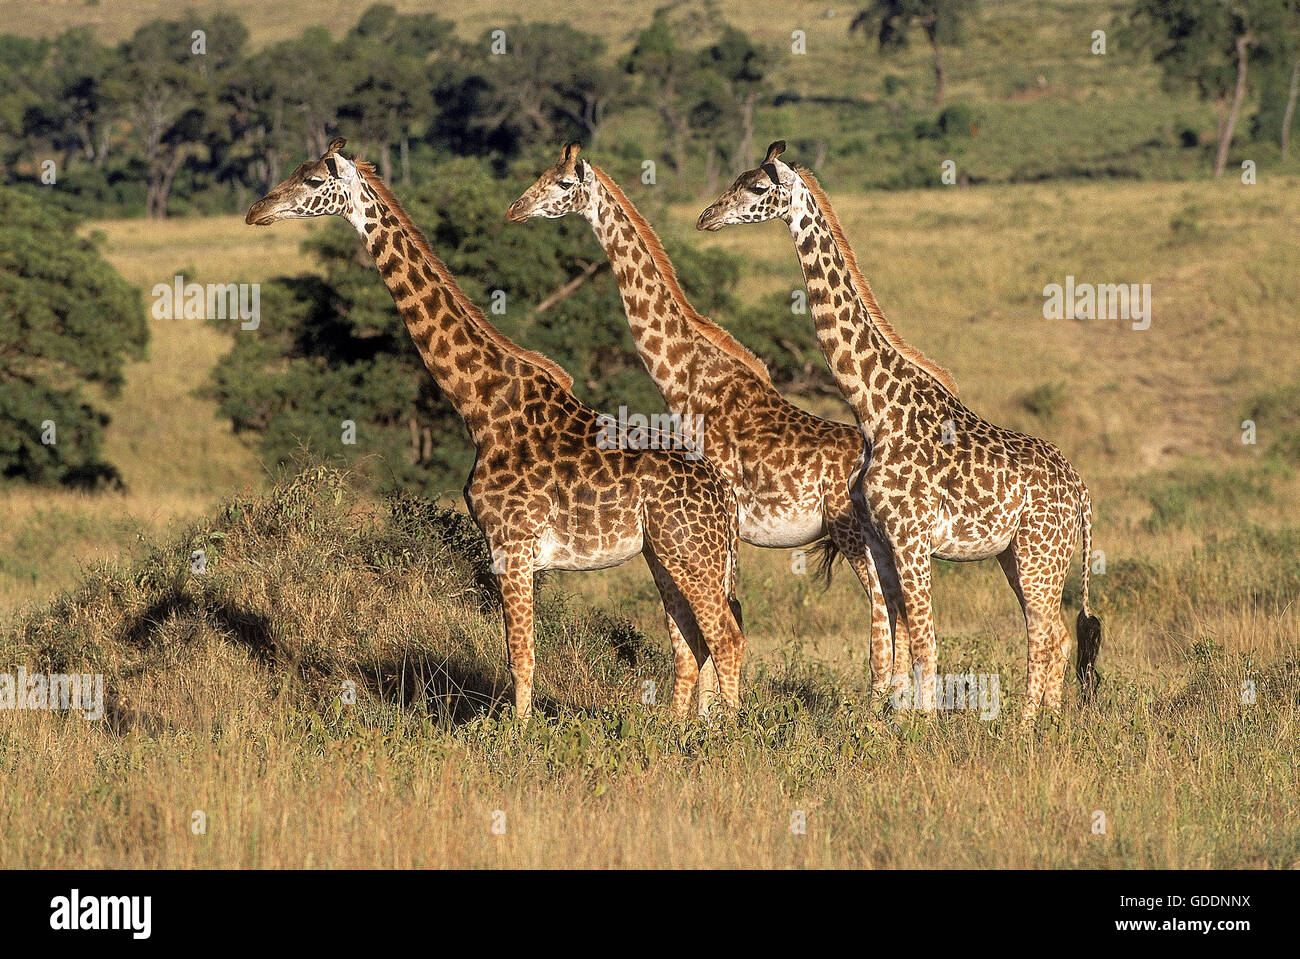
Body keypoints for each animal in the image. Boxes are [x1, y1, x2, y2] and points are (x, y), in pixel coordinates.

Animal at [245, 138, 748, 721]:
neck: (481, 404)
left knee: (726, 637)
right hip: (666, 553)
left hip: (693, 553)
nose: (256, 210)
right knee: (691, 642)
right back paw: (680, 730)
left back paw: (730, 732)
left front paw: (517, 732)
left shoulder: (512, 543)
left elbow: (520, 655)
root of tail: (725, 495)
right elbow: (522, 653)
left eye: (311, 181)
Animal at [506, 142, 913, 699]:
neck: (684, 378)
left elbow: (718, 621)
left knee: (883, 610)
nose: (515, 208)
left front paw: (710, 714)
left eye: (564, 183)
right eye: (541, 174)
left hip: (855, 534)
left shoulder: (720, 514)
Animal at [697, 141, 1102, 723]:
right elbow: (896, 641)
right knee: (1056, 634)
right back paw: (1047, 723)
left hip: (1039, 552)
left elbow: (925, 641)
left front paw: (925, 728)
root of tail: (1082, 492)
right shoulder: (881, 540)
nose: (706, 217)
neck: (874, 408)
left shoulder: (913, 539)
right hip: (1020, 554)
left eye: (756, 187)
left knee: (1045, 635)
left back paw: (1026, 728)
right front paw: (890, 723)